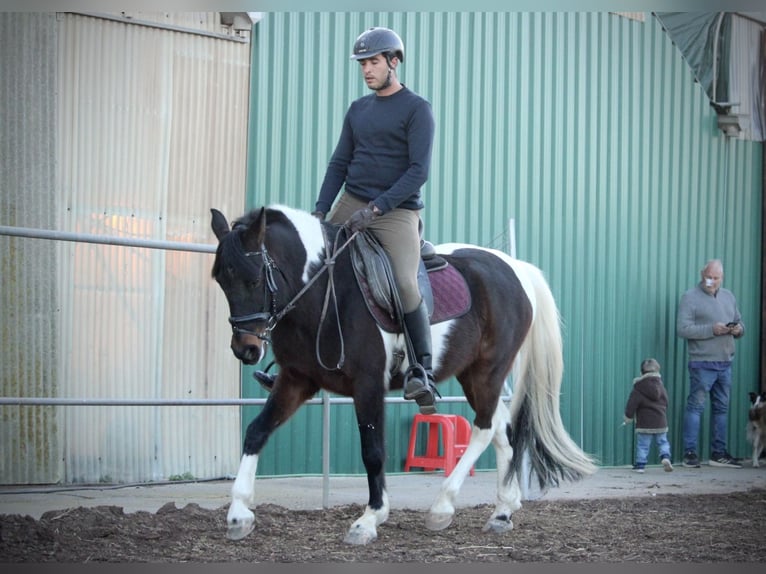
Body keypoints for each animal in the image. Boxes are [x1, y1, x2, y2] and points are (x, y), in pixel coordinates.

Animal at [210, 205, 600, 548]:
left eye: (254, 278)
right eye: (220, 281)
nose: (245, 349)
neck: (325, 292)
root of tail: (516, 269)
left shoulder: (368, 385)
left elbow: (373, 451)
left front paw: (369, 520)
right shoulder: (296, 380)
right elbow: (256, 431)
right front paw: (238, 514)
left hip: (487, 372)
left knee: (485, 429)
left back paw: (443, 507)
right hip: (474, 375)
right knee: (502, 429)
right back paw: (502, 511)